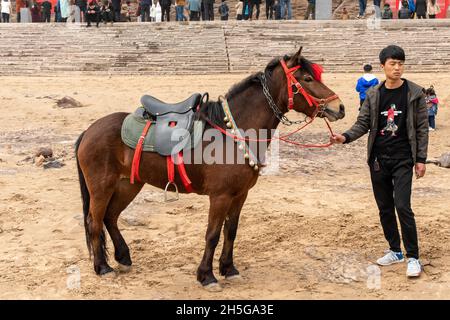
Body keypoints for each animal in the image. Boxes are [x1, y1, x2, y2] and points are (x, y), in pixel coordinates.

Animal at [75, 48, 346, 290]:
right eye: (307, 78)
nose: (340, 107)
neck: (234, 132)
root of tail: (89, 130)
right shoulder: (220, 196)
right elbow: (213, 234)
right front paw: (207, 276)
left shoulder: (240, 195)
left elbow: (231, 231)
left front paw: (229, 269)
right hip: (102, 187)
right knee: (94, 221)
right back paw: (103, 267)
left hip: (129, 184)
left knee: (110, 217)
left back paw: (123, 257)